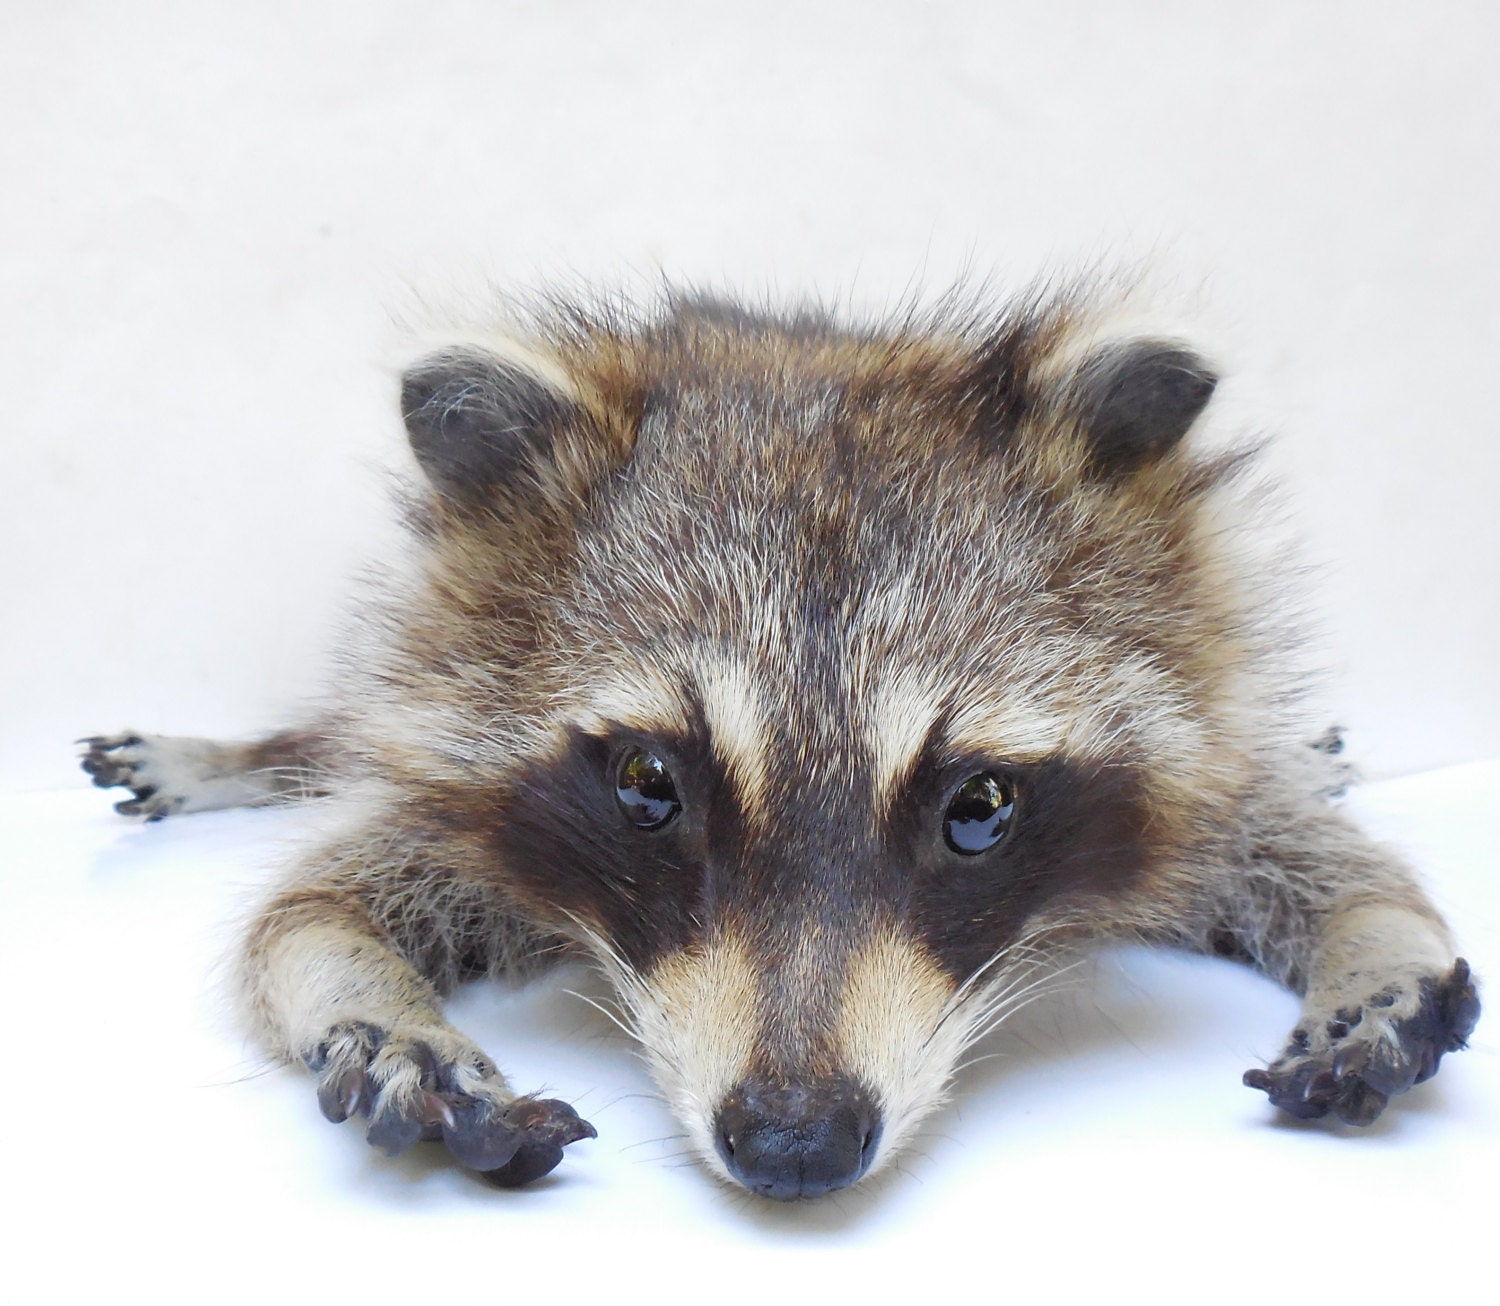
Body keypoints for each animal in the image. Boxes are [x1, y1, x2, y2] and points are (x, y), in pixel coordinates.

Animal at [82, 280, 1476, 1199]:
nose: (795, 1149)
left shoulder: (1196, 770)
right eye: (649, 784)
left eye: (979, 807)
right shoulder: (456, 774)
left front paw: (1381, 943)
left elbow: (1320, 857)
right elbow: (306, 911)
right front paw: (367, 998)